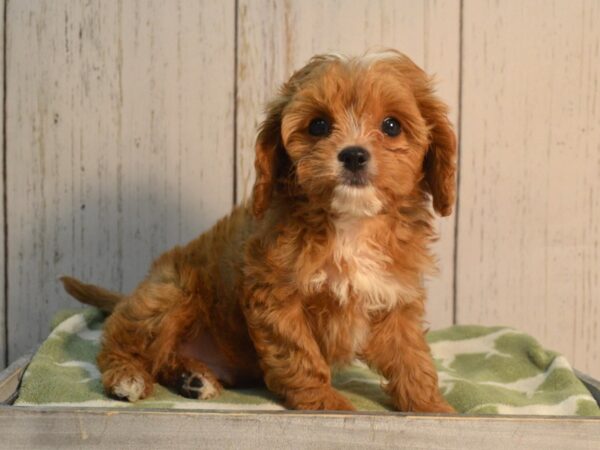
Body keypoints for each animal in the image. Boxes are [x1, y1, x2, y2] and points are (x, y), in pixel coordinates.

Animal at [59, 51, 454, 414]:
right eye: (318, 126)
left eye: (391, 126)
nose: (354, 155)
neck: (351, 223)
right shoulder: (275, 296)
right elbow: (300, 354)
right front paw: (325, 404)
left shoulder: (394, 297)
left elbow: (411, 356)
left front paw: (431, 408)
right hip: (170, 294)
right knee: (122, 341)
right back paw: (128, 376)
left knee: (163, 357)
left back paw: (192, 378)